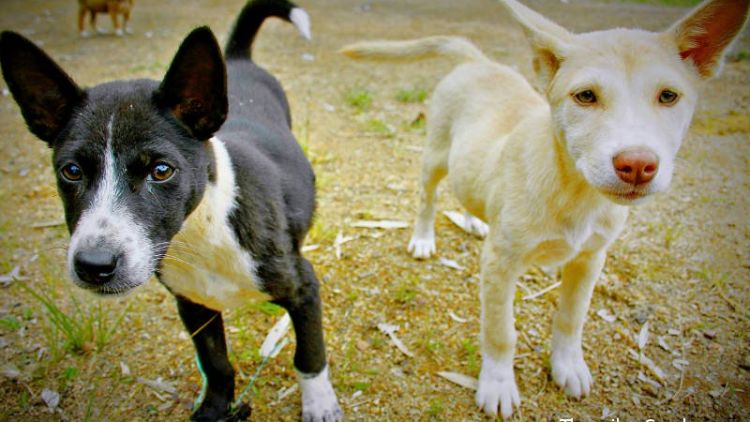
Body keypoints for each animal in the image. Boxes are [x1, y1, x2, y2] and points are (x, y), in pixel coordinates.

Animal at [1, 0, 342, 422]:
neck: (202, 233)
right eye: (71, 171)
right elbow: (216, 363)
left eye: (161, 170)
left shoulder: (303, 288)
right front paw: (215, 409)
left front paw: (320, 405)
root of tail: (235, 58)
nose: (94, 266)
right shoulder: (193, 305)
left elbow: (309, 356)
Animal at [342, 0, 750, 418]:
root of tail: (478, 61)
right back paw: (423, 238)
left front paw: (567, 367)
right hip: (435, 155)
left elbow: (571, 318)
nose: (637, 165)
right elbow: (500, 332)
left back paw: (475, 220)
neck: (576, 193)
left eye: (668, 96)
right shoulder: (500, 264)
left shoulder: (590, 259)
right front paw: (498, 385)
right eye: (585, 96)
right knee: (428, 198)